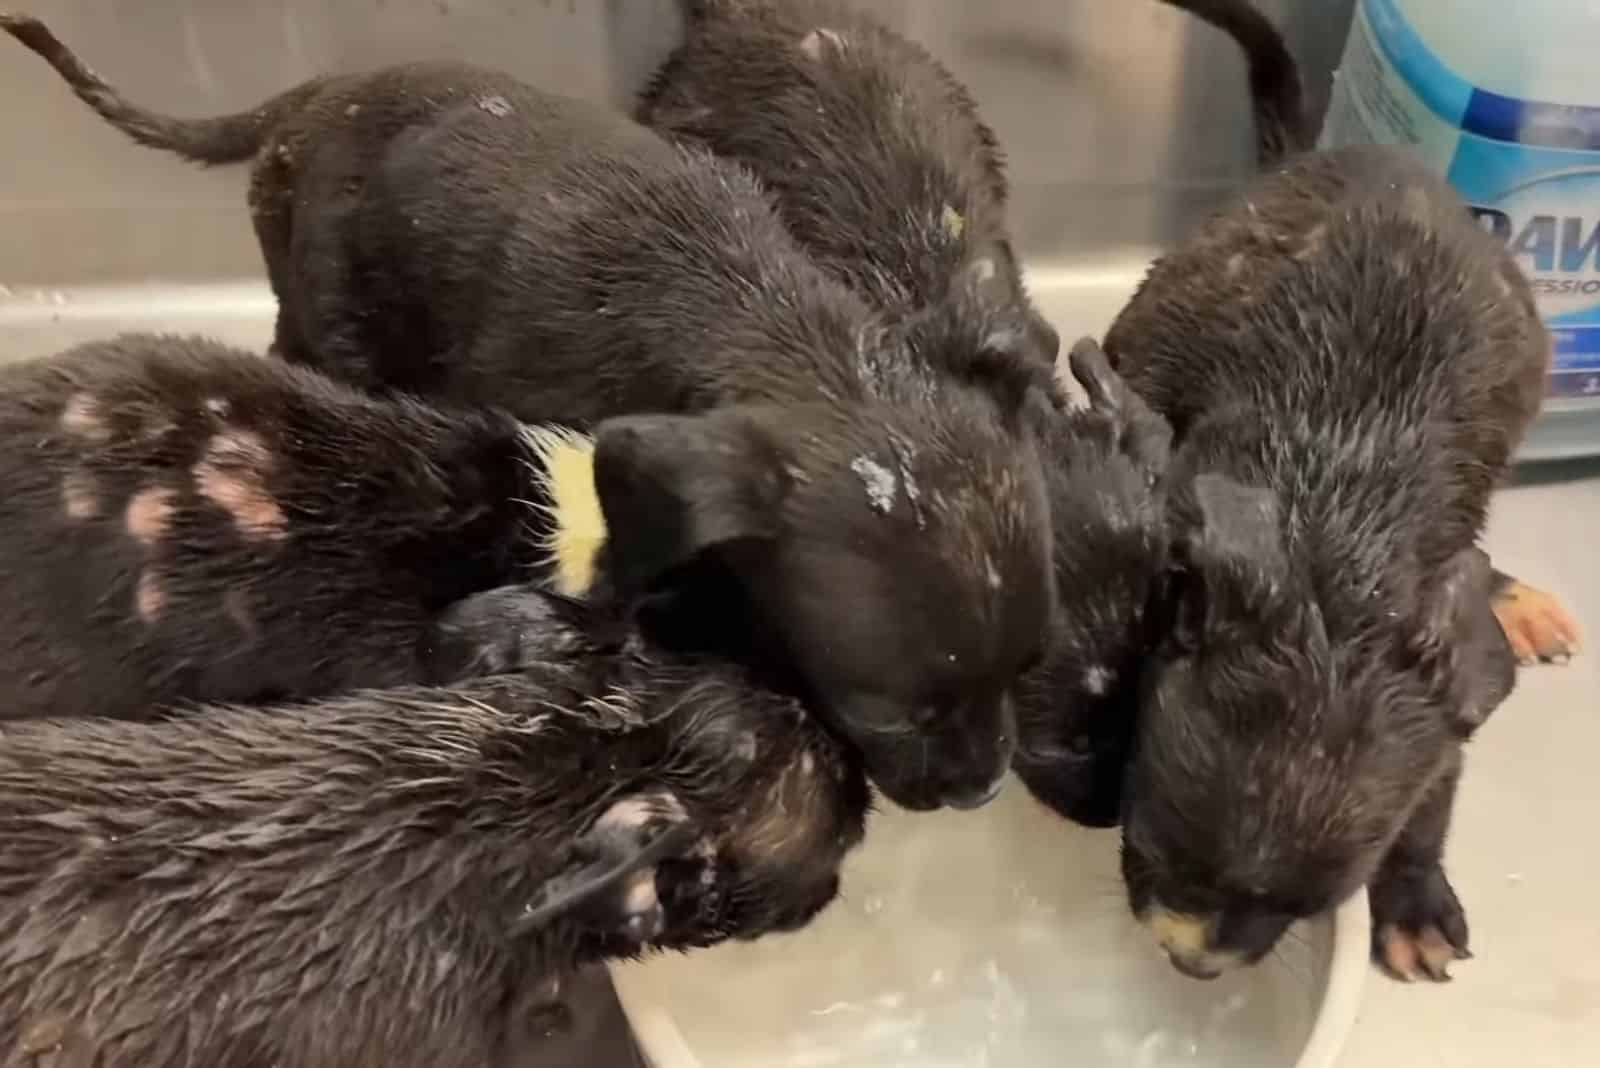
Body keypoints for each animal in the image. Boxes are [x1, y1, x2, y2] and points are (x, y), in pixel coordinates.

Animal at [1107, 143, 1542, 984]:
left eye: (1305, 904)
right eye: (1150, 839)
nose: (1193, 963)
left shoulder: (1436, 703)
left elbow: (1431, 796)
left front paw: (1414, 899)